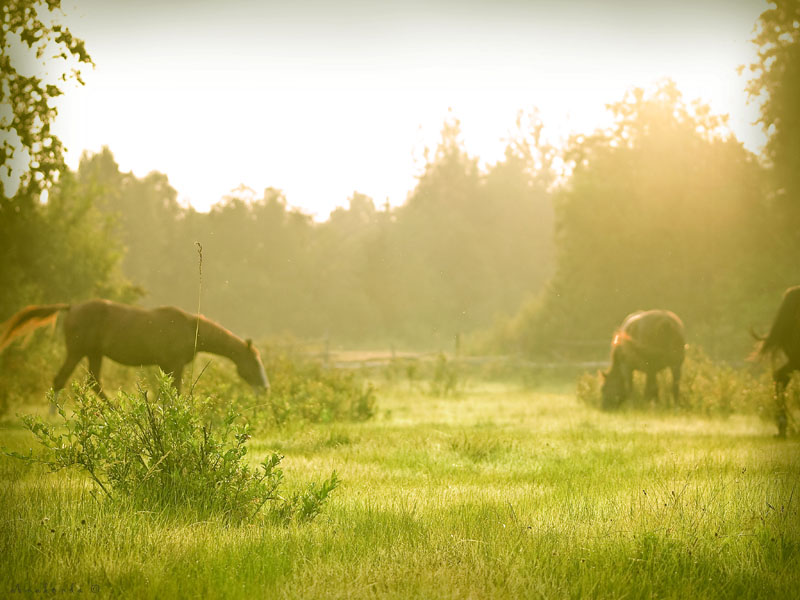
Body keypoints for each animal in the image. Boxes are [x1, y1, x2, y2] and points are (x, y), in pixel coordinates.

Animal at [0, 298, 268, 404]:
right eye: (255, 362)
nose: (265, 388)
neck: (191, 329)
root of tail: (72, 306)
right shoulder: (174, 365)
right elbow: (174, 393)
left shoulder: (167, 366)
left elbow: (168, 394)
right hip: (77, 352)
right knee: (60, 379)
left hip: (94, 354)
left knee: (94, 382)